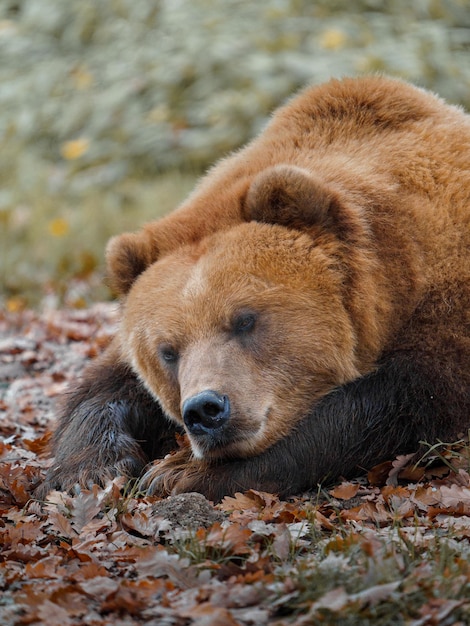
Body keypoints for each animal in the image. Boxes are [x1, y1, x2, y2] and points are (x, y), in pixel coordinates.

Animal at [37, 75, 470, 500]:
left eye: (245, 320)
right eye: (167, 351)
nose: (205, 410)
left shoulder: (443, 304)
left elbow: (405, 401)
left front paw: (178, 471)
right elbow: (105, 386)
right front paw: (90, 469)